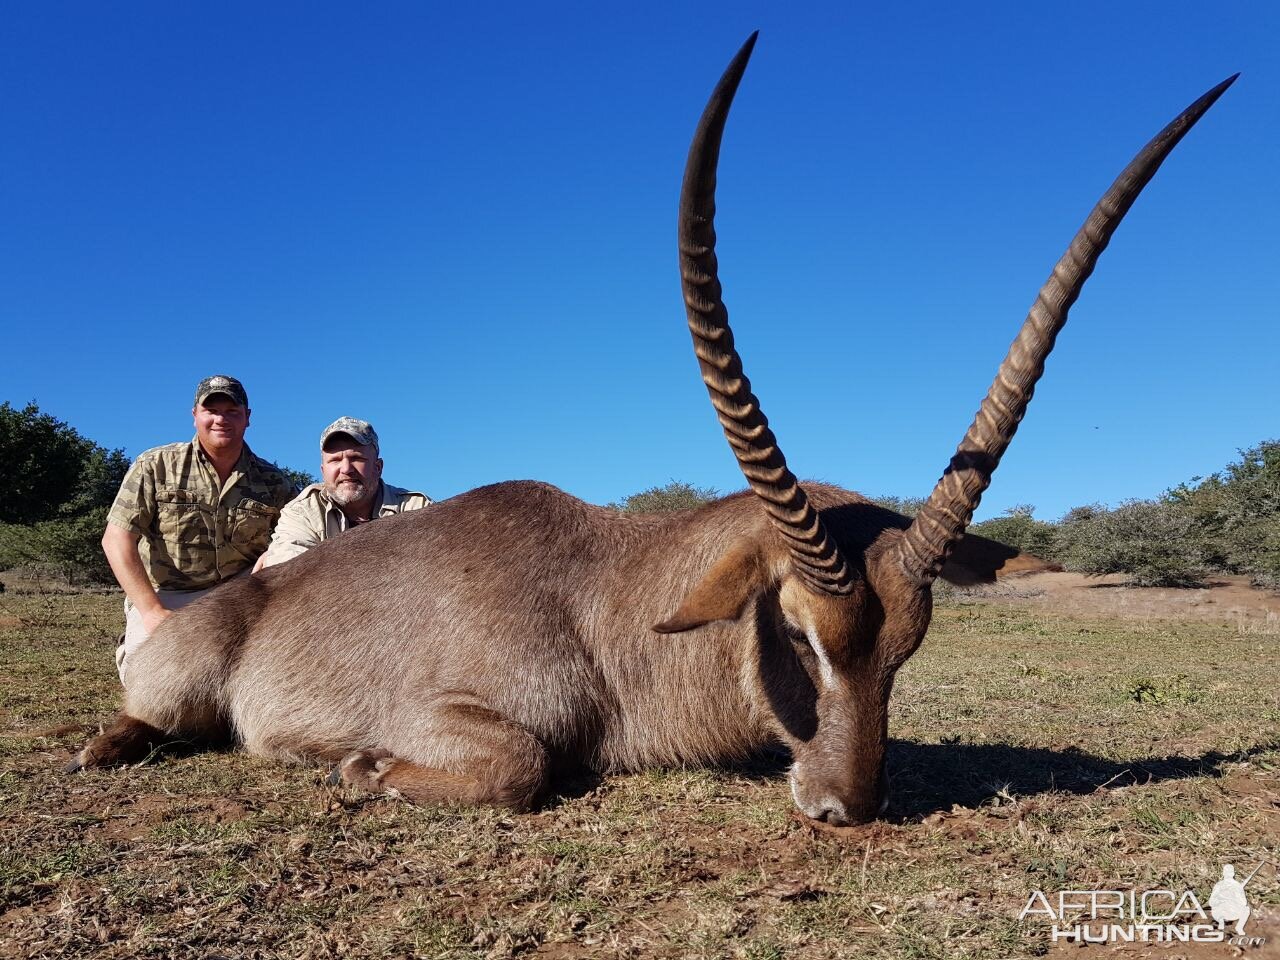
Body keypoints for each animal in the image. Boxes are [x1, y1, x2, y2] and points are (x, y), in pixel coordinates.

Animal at [67, 33, 1228, 824]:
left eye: (910, 644)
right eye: (797, 631)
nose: (842, 807)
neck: (606, 602)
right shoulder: (456, 713)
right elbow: (521, 766)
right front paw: (354, 766)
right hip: (180, 683)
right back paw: (109, 747)